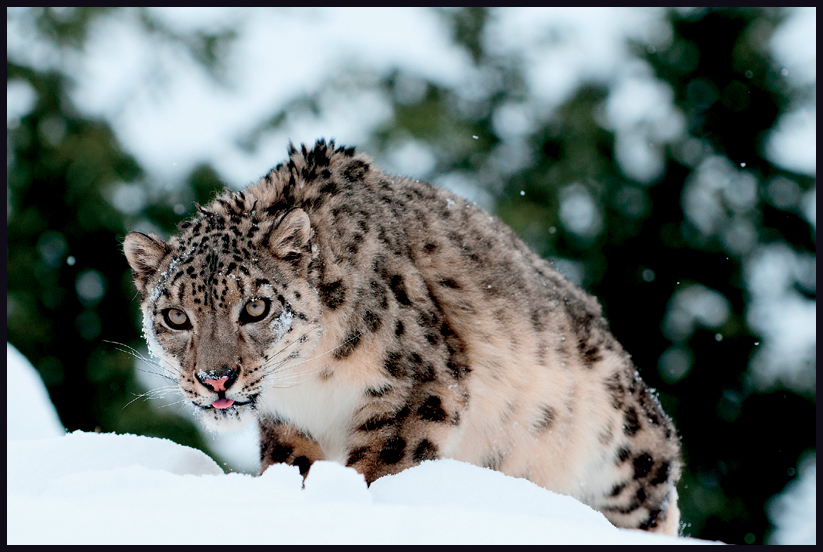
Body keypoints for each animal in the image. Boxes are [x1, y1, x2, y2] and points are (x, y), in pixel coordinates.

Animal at [125, 139, 684, 536]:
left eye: (256, 307)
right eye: (175, 317)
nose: (215, 378)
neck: (311, 382)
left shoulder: (421, 388)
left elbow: (379, 466)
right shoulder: (290, 423)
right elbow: (294, 466)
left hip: (625, 447)